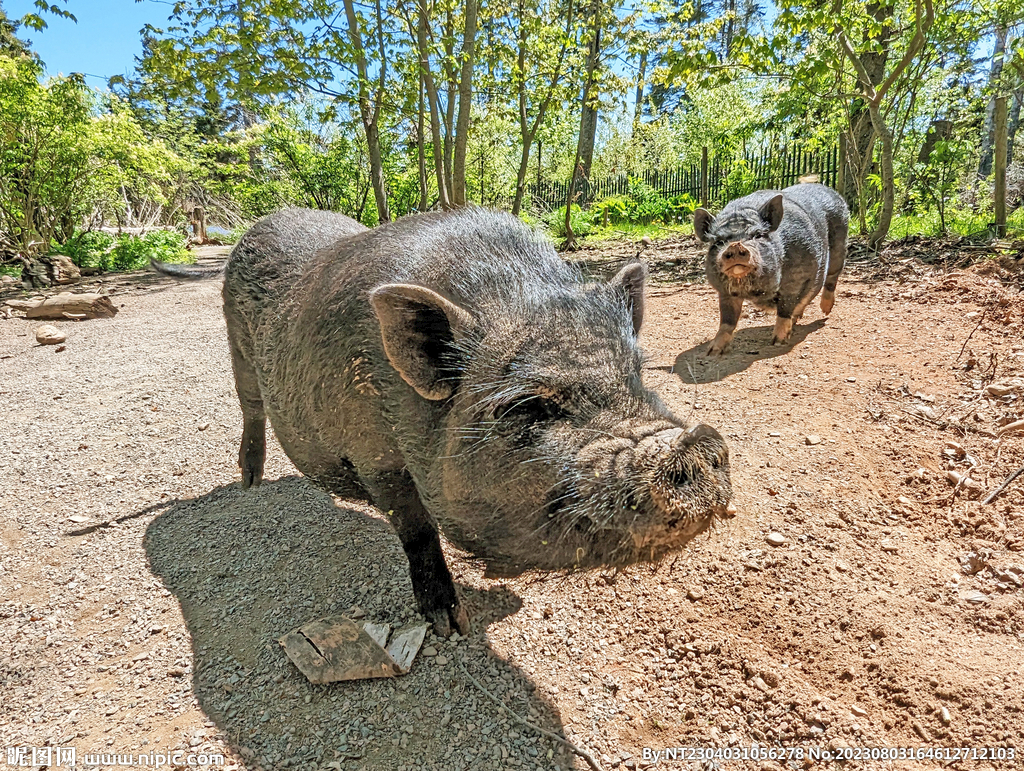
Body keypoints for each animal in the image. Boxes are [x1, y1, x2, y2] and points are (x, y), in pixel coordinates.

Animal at [155, 207, 733, 634]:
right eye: (527, 406)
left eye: (636, 375)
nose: (695, 442)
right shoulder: (376, 456)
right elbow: (415, 527)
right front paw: (449, 623)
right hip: (236, 343)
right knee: (249, 405)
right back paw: (249, 483)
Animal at [692, 182, 851, 354]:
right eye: (718, 242)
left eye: (757, 235)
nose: (735, 245)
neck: (754, 291)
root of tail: (831, 191)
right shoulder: (725, 292)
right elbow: (727, 319)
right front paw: (712, 351)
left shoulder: (798, 278)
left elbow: (786, 307)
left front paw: (778, 342)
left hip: (839, 247)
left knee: (831, 277)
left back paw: (825, 311)